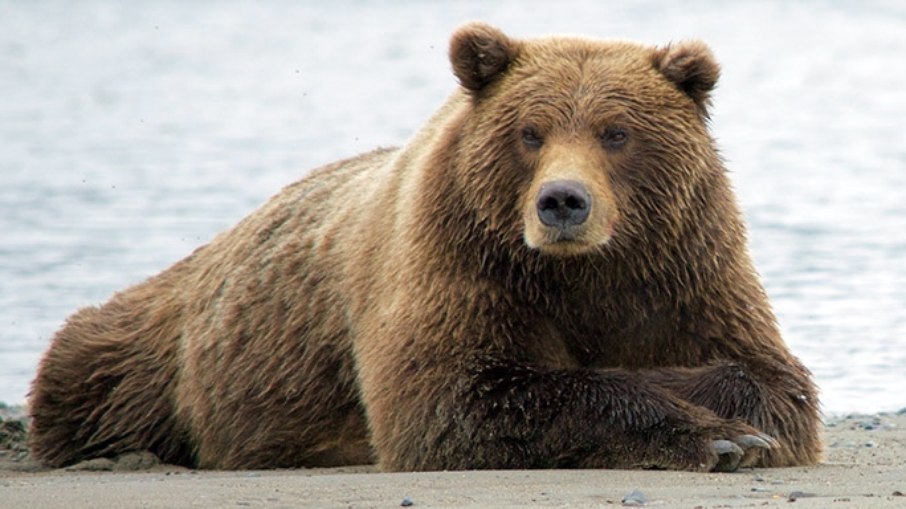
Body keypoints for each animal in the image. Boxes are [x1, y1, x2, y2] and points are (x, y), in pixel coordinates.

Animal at [26, 21, 820, 470]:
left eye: (615, 132)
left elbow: (770, 377)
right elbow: (456, 396)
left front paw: (730, 419)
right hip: (155, 351)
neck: (583, 272)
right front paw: (716, 437)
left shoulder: (683, 268)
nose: (563, 202)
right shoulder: (460, 262)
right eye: (531, 131)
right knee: (90, 368)